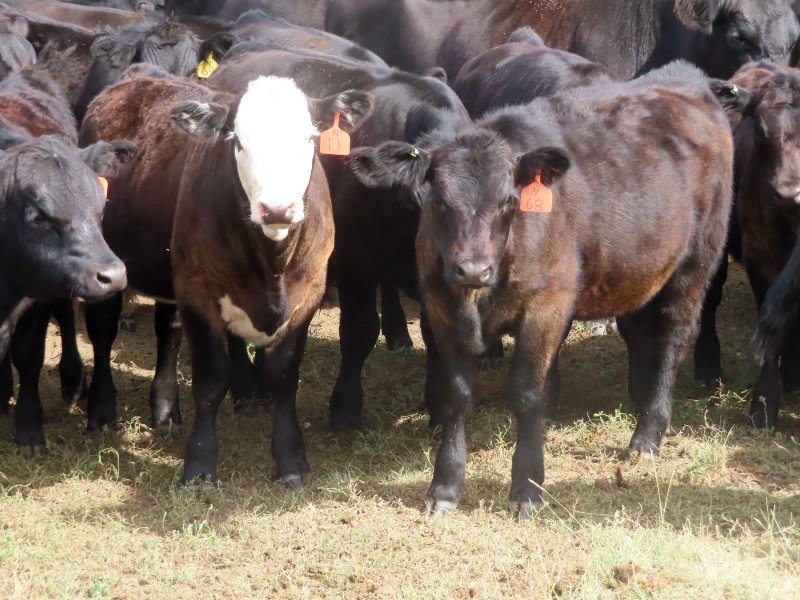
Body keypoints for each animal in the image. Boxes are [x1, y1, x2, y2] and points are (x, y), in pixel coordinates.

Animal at [208, 43, 472, 430]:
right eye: (423, 201)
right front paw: (345, 409)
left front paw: (438, 408)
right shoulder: (353, 261)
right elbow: (359, 331)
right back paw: (246, 390)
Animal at [347, 61, 733, 516]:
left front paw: (527, 485)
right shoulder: (441, 307)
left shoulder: (546, 307)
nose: (472, 269)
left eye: (509, 202)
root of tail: (686, 78)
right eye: (437, 199)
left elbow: (527, 392)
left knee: (673, 336)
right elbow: (455, 395)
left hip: (696, 262)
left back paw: (647, 435)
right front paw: (444, 486)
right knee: (639, 331)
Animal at [696, 62, 800, 430]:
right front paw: (764, 402)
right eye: (760, 130)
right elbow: (770, 315)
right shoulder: (761, 254)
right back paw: (707, 366)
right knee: (710, 298)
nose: (788, 192)